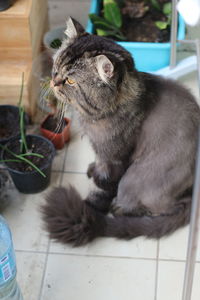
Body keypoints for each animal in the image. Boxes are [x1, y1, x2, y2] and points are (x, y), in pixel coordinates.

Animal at [41, 17, 200, 246]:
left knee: (168, 207)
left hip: (133, 179)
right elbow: (98, 165)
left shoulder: (115, 158)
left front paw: (92, 205)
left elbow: (104, 187)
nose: (53, 82)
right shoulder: (100, 150)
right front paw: (93, 170)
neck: (94, 117)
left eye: (70, 80)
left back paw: (120, 209)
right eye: (55, 67)